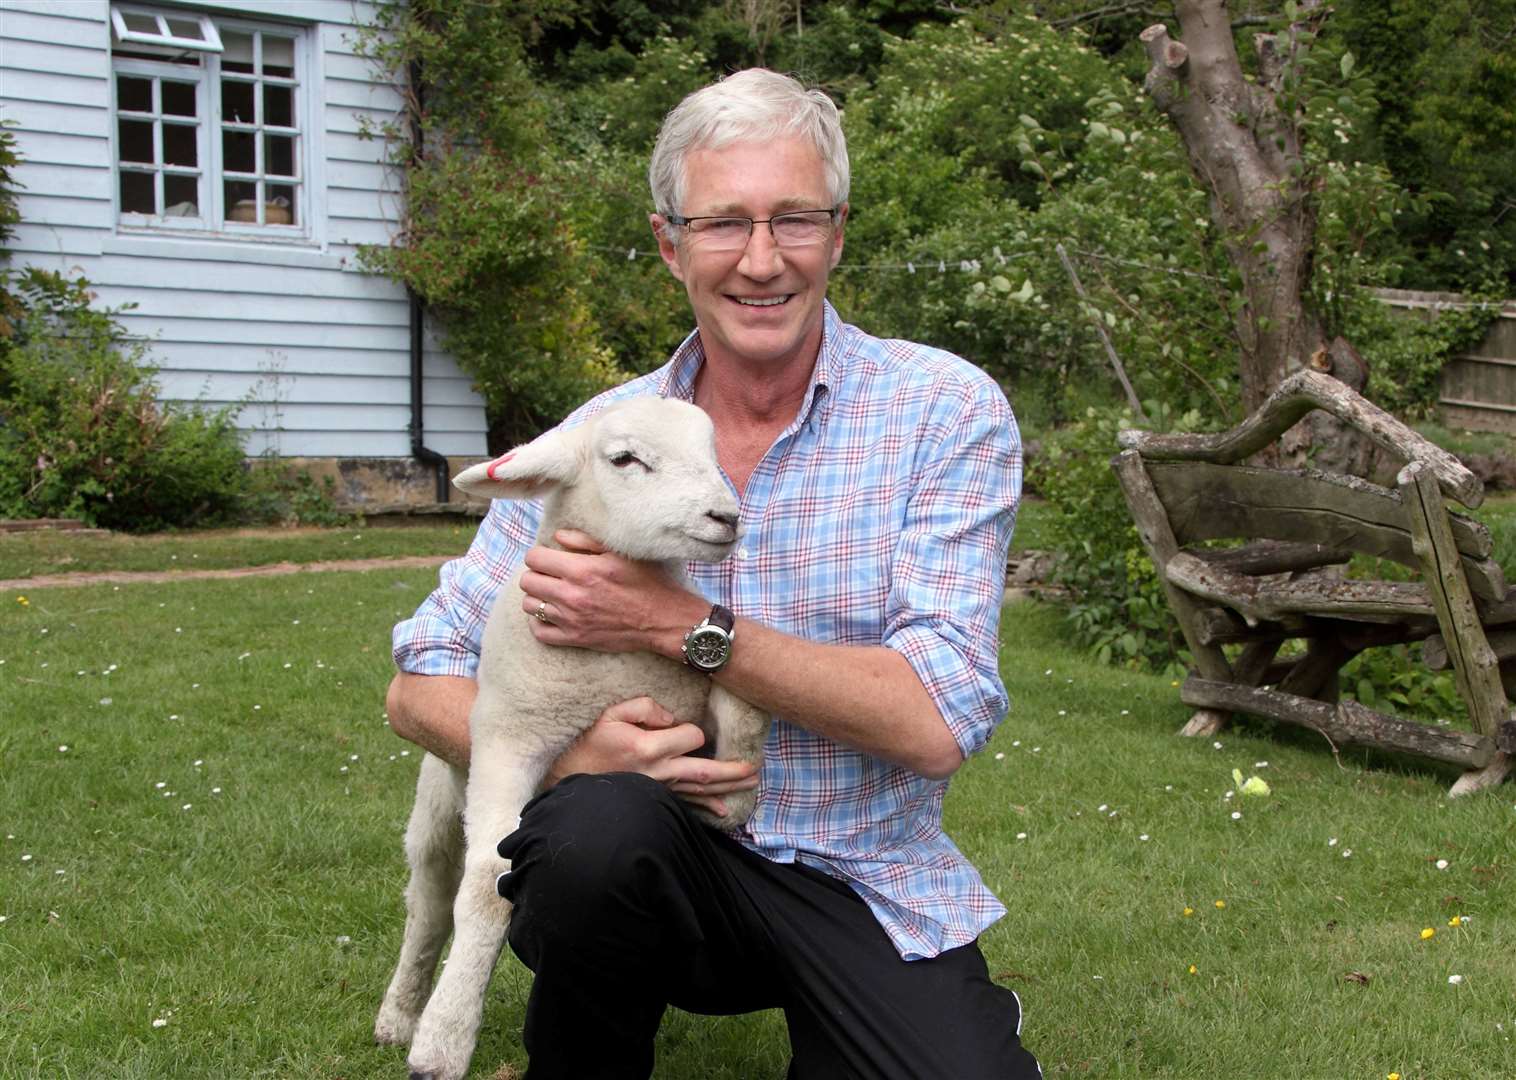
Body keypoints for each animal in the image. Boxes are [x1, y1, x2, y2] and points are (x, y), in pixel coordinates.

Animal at [368, 397, 770, 1080]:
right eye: (625, 459)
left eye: (711, 451)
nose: (726, 517)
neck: (612, 665)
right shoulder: (509, 741)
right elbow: (485, 885)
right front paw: (443, 1042)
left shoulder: (690, 693)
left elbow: (743, 705)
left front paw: (733, 799)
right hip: (440, 805)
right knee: (429, 904)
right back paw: (401, 1016)